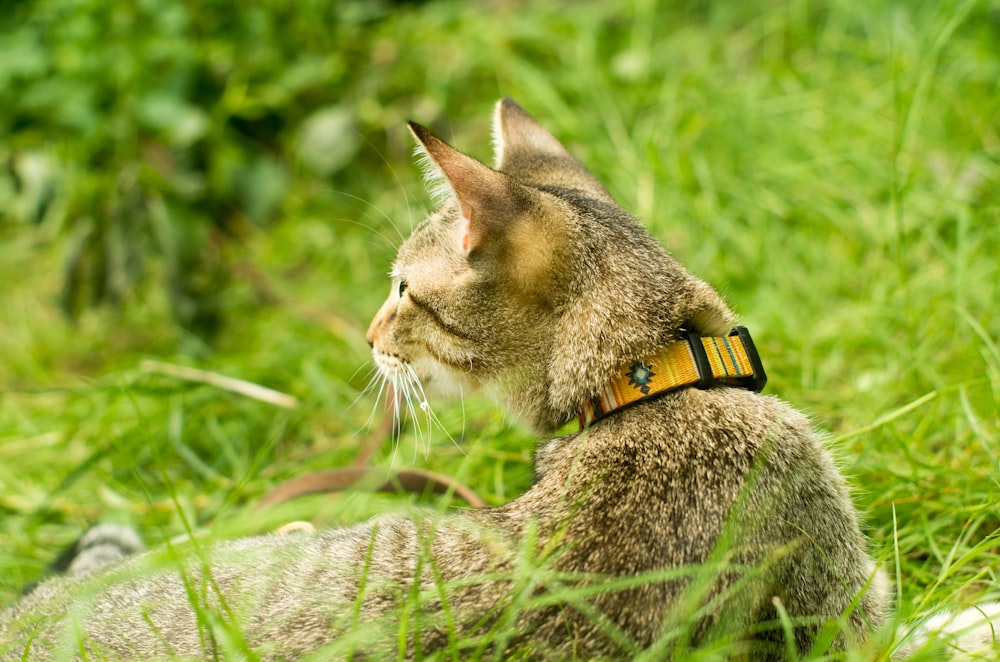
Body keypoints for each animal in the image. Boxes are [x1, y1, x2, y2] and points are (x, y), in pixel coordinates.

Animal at [0, 100, 996, 662]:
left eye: (403, 290)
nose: (369, 334)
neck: (652, 382)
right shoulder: (850, 616)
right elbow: (931, 626)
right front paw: (976, 618)